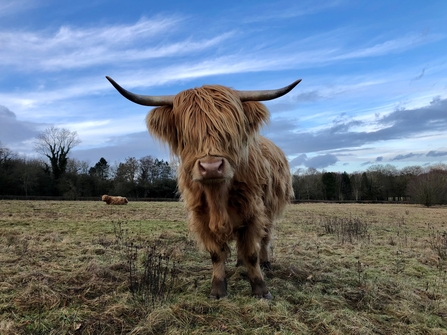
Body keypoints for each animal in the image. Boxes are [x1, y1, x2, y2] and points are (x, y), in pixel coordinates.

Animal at [106, 75, 300, 300]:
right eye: (187, 135)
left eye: (230, 131)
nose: (211, 167)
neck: (218, 197)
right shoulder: (201, 216)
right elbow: (216, 254)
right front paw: (218, 290)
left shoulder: (253, 212)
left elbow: (252, 253)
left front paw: (261, 290)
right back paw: (239, 263)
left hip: (270, 209)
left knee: (265, 237)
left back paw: (265, 262)